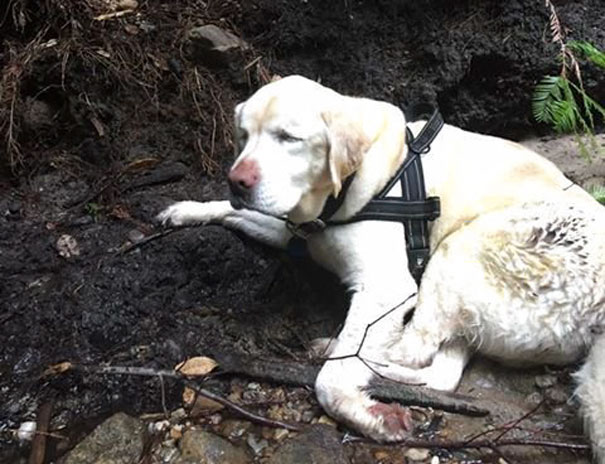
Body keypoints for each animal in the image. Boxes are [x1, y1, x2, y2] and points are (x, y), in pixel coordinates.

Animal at [158, 76, 604, 460]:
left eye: (289, 138)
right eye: (244, 136)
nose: (237, 180)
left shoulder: (387, 287)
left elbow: (330, 381)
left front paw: (367, 414)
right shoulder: (292, 229)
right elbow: (233, 212)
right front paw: (187, 209)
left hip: (462, 249)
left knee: (410, 348)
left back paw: (343, 351)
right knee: (440, 371)